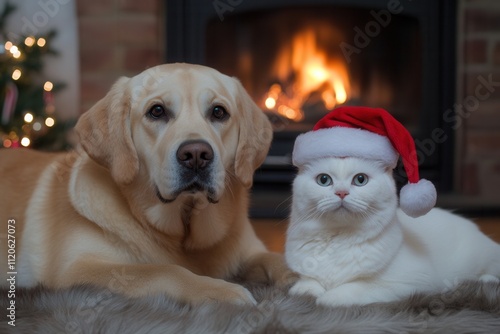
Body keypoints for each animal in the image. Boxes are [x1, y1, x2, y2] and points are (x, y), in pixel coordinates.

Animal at [0, 62, 292, 306]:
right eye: (157, 111)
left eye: (219, 112)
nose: (196, 154)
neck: (184, 230)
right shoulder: (76, 270)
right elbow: (165, 271)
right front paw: (221, 290)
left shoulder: (250, 252)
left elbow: (277, 259)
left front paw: (298, 276)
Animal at [286, 158, 500, 306]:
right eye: (324, 180)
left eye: (360, 180)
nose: (341, 193)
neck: (339, 238)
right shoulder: (307, 274)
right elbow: (306, 285)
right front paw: (308, 292)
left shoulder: (412, 281)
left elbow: (354, 288)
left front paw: (327, 298)